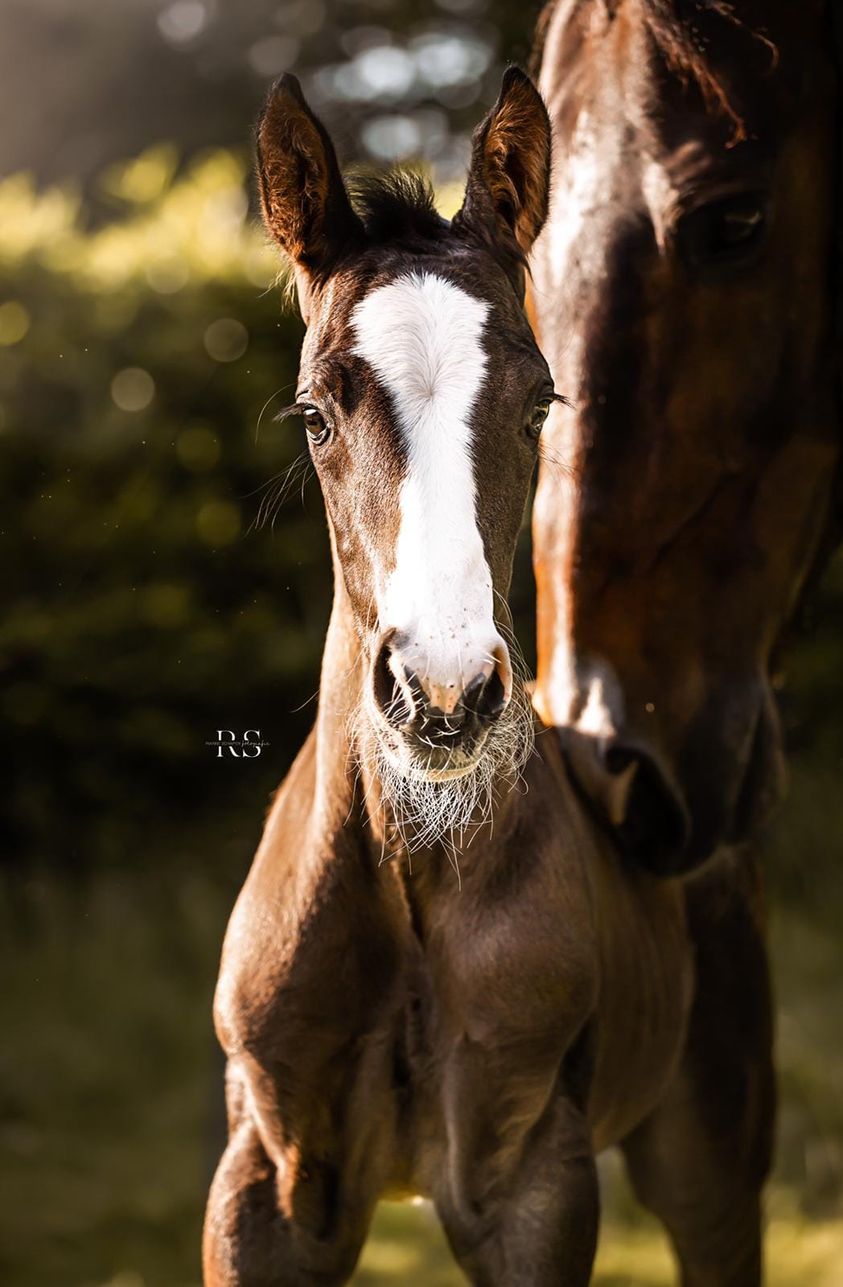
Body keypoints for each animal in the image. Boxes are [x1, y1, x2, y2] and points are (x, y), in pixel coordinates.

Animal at [200, 67, 767, 1287]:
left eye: (541, 400)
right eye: (314, 413)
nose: (445, 693)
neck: (408, 880)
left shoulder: (530, 1181)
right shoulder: (262, 1180)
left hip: (707, 1151)